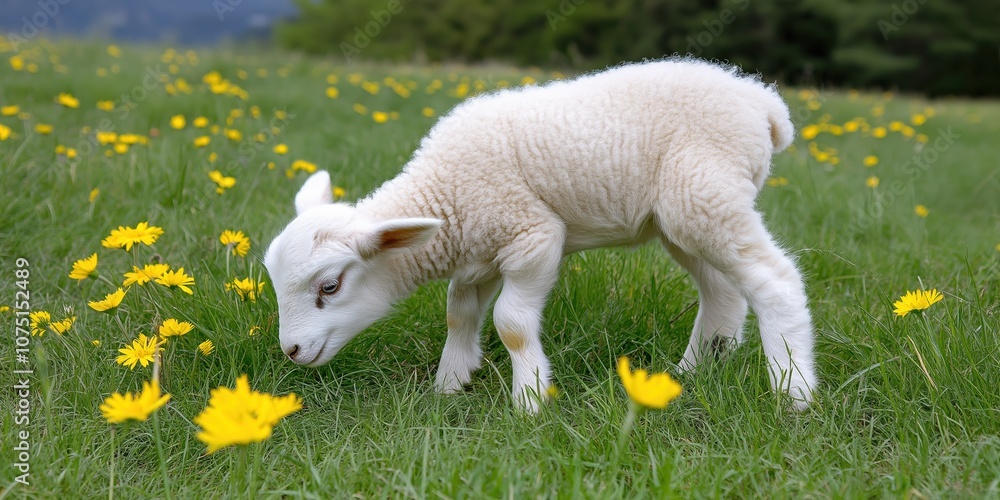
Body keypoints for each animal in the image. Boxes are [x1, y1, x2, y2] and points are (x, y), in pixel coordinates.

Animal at [264, 58, 817, 412]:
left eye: (330, 286)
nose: (291, 351)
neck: (447, 194)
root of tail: (763, 104)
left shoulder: (532, 238)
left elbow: (510, 322)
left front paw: (529, 400)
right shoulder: (481, 252)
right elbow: (459, 313)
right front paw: (450, 384)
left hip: (706, 193)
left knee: (775, 280)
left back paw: (794, 393)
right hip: (682, 216)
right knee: (723, 291)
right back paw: (690, 373)